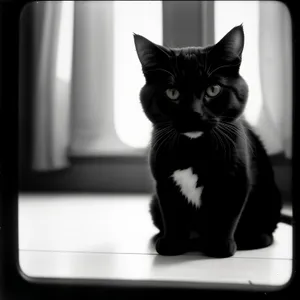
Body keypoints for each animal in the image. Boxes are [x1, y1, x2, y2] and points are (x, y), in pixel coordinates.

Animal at [133, 25, 282, 258]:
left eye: (213, 90)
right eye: (172, 93)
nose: (194, 113)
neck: (194, 149)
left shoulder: (235, 179)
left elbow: (226, 216)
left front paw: (220, 247)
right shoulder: (164, 182)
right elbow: (172, 214)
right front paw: (172, 244)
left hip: (269, 199)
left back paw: (255, 238)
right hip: (153, 204)